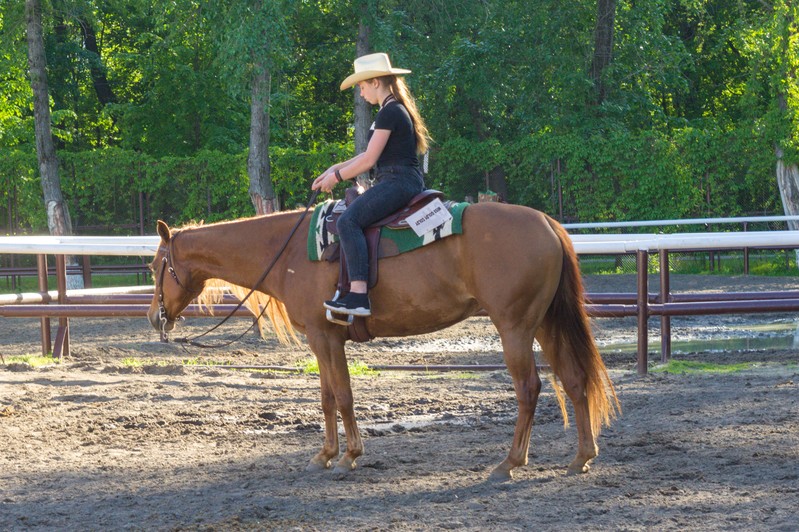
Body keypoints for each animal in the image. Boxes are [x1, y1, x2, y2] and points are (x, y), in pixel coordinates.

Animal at [147, 202, 620, 480]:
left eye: (155, 265)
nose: (155, 317)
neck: (289, 251)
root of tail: (546, 222)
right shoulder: (324, 340)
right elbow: (326, 398)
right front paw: (325, 454)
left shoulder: (325, 337)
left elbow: (342, 396)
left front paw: (349, 455)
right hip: (544, 323)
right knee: (574, 380)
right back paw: (582, 456)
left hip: (515, 327)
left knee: (529, 389)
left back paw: (510, 462)